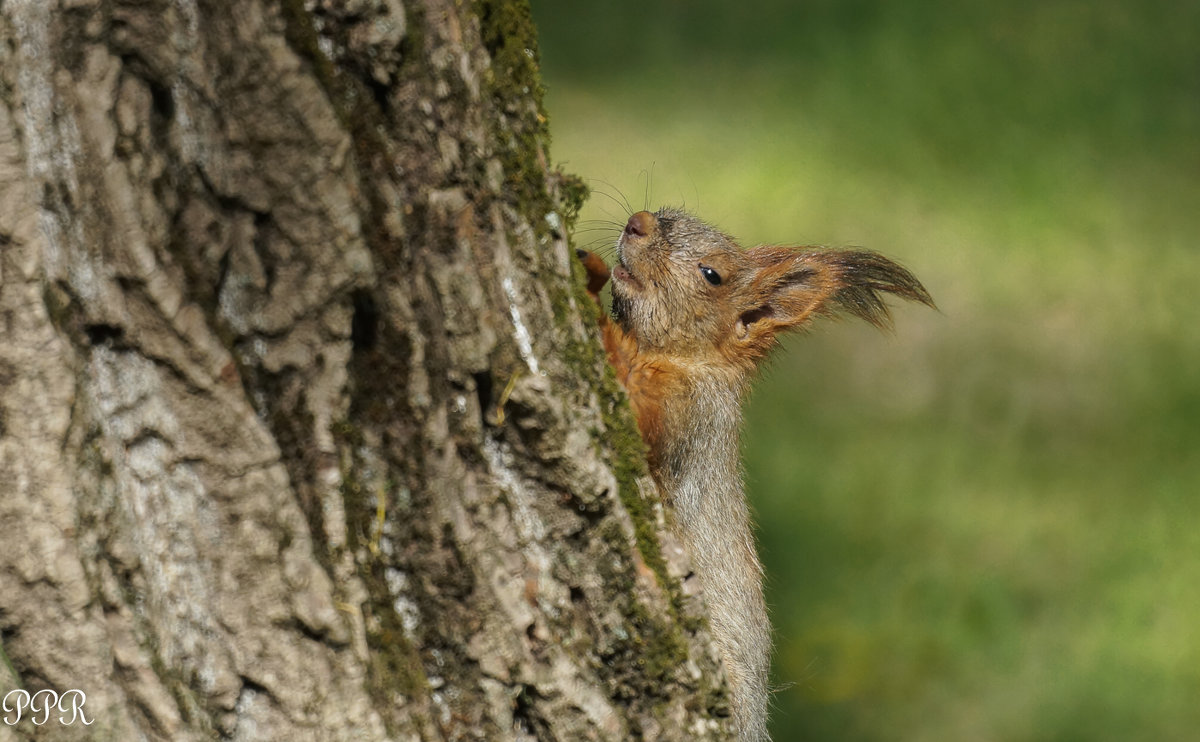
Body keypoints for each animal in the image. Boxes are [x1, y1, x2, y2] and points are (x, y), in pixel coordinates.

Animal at [576, 205, 931, 734]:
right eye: (665, 213)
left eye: (712, 274)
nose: (638, 221)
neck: (694, 360)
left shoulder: (689, 414)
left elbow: (638, 409)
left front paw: (591, 295)